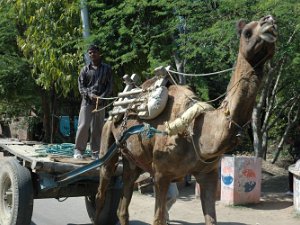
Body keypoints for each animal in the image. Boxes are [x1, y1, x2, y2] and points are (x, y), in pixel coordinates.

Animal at [94, 15, 276, 225]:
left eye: (274, 24)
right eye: (247, 32)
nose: (269, 22)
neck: (198, 132)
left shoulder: (208, 174)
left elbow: (210, 219)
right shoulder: (161, 175)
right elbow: (158, 219)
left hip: (133, 162)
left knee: (123, 205)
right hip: (107, 138)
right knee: (101, 189)